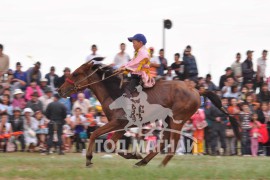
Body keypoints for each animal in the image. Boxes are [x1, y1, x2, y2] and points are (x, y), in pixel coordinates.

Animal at [57, 59, 238, 167]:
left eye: (75, 73)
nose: (59, 90)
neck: (114, 92)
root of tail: (196, 90)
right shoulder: (120, 125)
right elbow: (108, 142)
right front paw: (133, 155)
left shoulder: (120, 122)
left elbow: (100, 137)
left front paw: (89, 159)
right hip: (167, 120)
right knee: (164, 141)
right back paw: (144, 161)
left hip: (177, 119)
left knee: (172, 144)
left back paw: (159, 165)